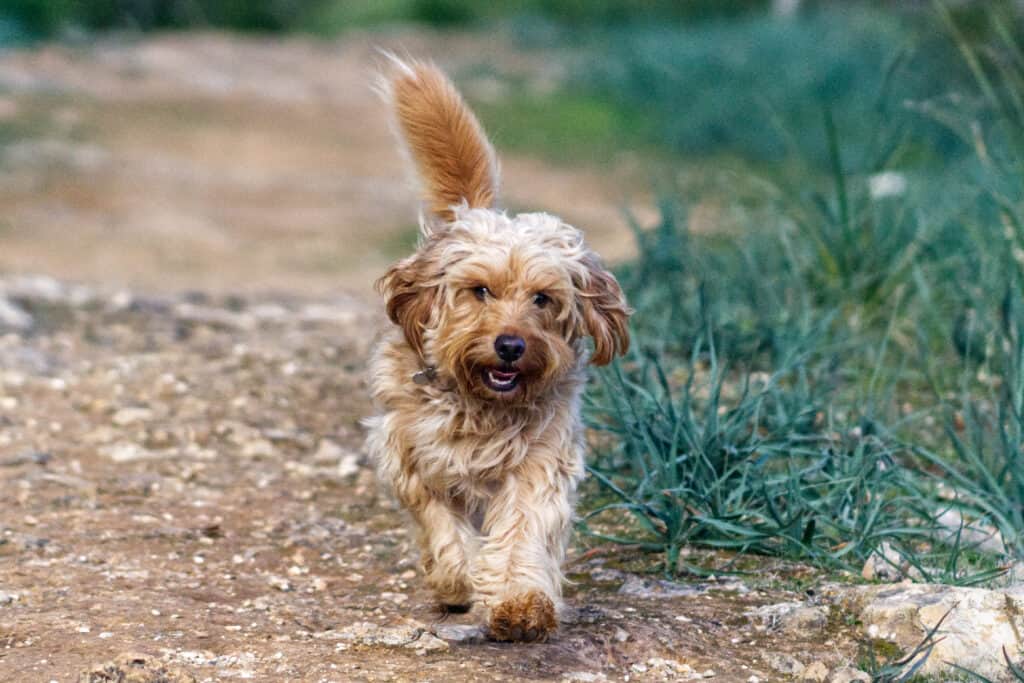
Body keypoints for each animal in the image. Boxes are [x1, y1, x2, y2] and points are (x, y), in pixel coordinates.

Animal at [364, 56, 626, 643]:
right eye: (480, 290)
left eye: (543, 298)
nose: (510, 346)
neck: (482, 407)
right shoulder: (412, 456)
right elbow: (442, 527)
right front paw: (457, 580)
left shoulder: (541, 461)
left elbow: (521, 532)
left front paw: (520, 604)